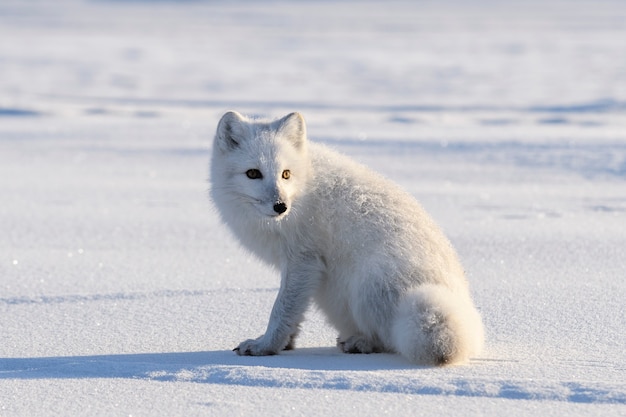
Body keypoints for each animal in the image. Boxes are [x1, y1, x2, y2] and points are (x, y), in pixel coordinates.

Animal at [210, 110, 482, 364]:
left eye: (285, 174)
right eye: (253, 173)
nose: (281, 206)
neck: (304, 187)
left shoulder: (303, 260)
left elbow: (282, 309)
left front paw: (265, 346)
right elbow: (294, 314)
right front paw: (285, 344)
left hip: (367, 285)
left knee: (389, 339)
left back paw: (361, 343)